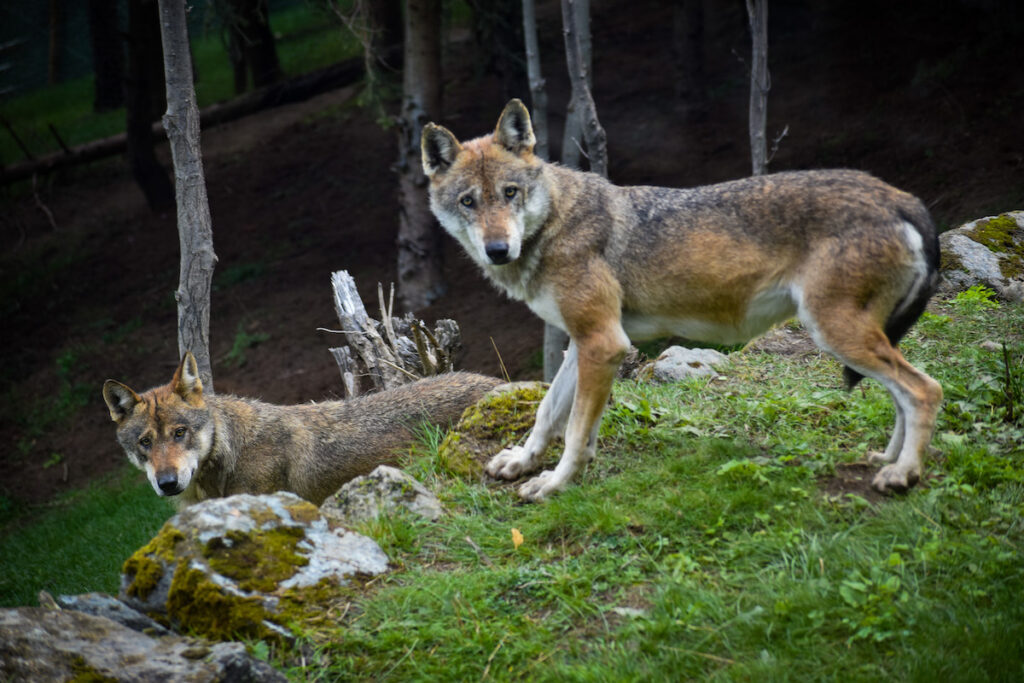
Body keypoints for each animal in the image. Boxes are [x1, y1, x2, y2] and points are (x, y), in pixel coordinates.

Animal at [417, 97, 942, 501]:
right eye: (468, 201)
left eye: (510, 193)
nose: (498, 250)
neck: (555, 224)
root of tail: (901, 198)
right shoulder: (582, 343)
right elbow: (548, 414)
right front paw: (522, 462)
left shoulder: (604, 343)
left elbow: (574, 432)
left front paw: (553, 484)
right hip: (853, 337)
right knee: (903, 394)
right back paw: (886, 458)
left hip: (833, 332)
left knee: (925, 389)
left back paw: (902, 473)